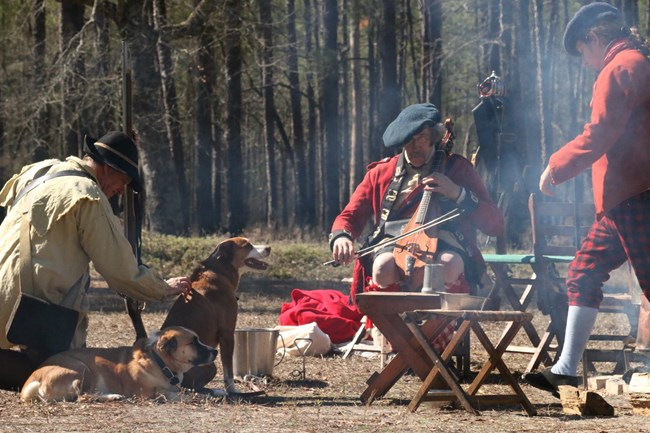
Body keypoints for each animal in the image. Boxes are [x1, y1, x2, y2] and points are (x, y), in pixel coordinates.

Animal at [19, 326, 215, 404]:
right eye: (193, 342)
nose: (215, 351)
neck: (160, 362)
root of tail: (32, 382)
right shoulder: (146, 393)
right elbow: (170, 393)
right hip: (82, 369)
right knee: (83, 396)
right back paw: (113, 396)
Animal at [161, 238, 270, 394]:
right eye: (247, 246)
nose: (269, 248)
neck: (220, 272)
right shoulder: (227, 334)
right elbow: (228, 371)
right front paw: (233, 390)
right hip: (211, 366)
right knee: (192, 388)